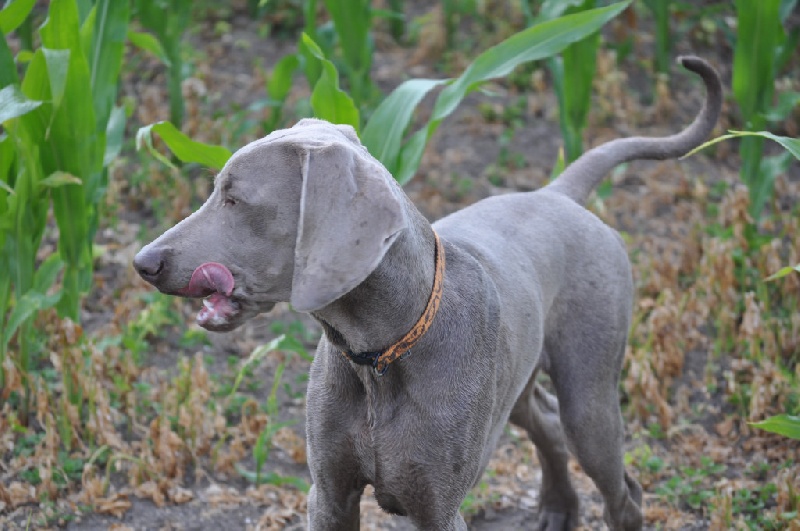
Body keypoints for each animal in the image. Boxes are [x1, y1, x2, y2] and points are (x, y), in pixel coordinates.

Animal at [134, 56, 720, 528]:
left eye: (235, 199)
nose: (144, 262)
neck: (379, 355)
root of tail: (558, 193)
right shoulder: (329, 494)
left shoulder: (437, 507)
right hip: (517, 387)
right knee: (547, 425)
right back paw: (558, 509)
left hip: (590, 393)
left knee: (621, 489)